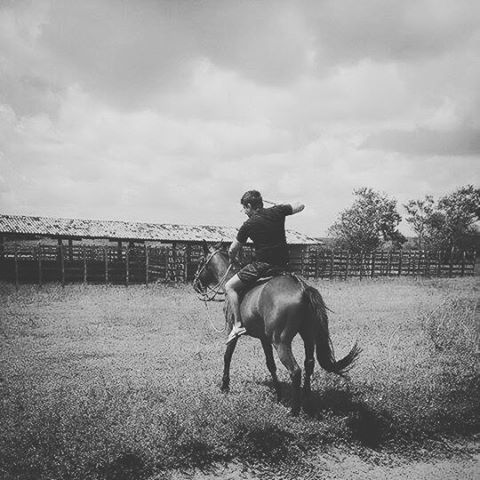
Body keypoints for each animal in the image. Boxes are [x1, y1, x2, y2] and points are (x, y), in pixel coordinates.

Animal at [192, 242, 360, 414]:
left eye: (200, 261)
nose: (196, 284)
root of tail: (303, 289)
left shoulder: (232, 331)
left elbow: (227, 356)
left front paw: (225, 385)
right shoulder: (264, 338)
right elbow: (270, 364)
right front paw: (278, 394)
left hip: (280, 342)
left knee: (295, 370)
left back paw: (294, 410)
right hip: (307, 336)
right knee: (309, 363)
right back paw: (307, 398)